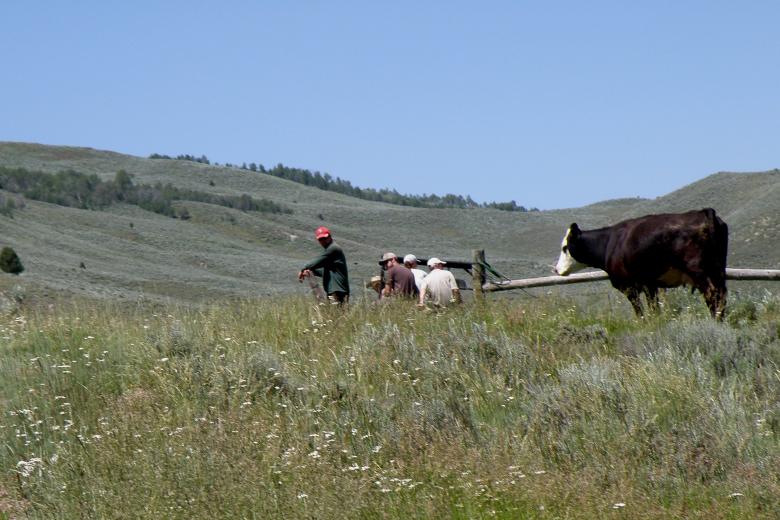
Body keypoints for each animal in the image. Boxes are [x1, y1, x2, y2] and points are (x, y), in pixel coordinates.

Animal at [553, 208, 728, 319]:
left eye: (564, 248)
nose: (556, 269)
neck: (609, 243)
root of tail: (703, 212)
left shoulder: (629, 287)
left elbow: (640, 311)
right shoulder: (650, 284)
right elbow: (654, 308)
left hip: (698, 270)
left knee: (712, 294)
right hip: (718, 269)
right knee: (722, 295)